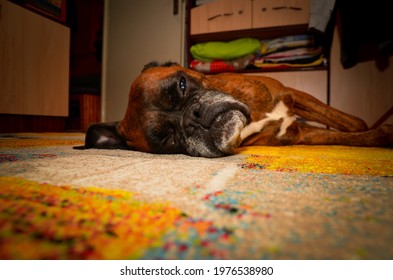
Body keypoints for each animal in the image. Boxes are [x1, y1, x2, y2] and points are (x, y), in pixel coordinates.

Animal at [74, 61, 392, 158]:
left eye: (181, 84)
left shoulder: (293, 95)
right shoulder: (297, 135)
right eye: (167, 139)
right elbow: (353, 135)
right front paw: (383, 135)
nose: (193, 117)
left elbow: (355, 124)